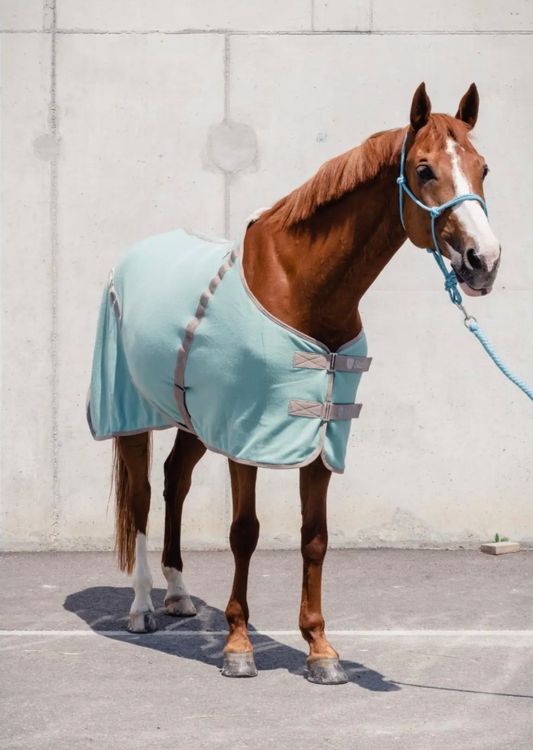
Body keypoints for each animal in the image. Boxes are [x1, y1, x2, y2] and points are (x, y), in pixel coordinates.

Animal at [87, 83, 501, 684]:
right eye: (424, 170)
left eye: (483, 167)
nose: (483, 261)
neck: (301, 285)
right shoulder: (245, 435)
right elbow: (244, 532)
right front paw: (238, 646)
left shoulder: (321, 438)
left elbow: (315, 539)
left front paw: (320, 650)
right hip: (131, 412)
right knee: (141, 496)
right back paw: (141, 607)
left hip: (193, 416)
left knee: (174, 482)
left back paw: (179, 595)